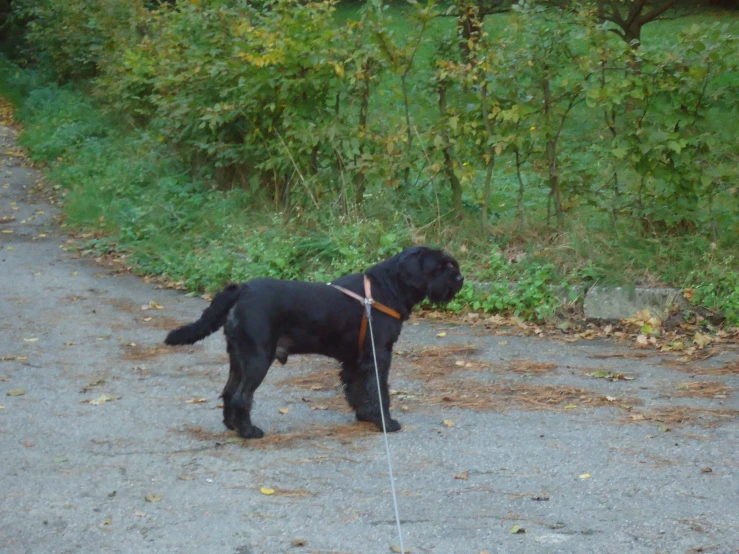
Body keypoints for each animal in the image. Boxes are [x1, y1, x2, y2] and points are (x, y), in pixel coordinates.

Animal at [164, 245, 462, 436]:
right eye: (441, 266)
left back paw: (232, 426)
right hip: (258, 359)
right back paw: (248, 431)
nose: (460, 278)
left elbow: (356, 390)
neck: (386, 288)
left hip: (239, 358)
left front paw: (366, 417)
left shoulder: (355, 360)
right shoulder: (378, 355)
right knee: (241, 396)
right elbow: (379, 391)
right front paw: (386, 424)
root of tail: (242, 289)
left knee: (228, 392)